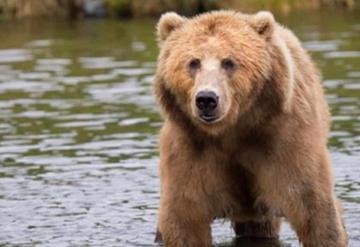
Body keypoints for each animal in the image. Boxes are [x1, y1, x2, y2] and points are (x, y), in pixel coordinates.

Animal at [153, 10, 348, 247]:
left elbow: (314, 209)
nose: (206, 99)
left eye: (228, 62)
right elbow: (185, 218)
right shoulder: (190, 148)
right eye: (193, 62)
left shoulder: (285, 140)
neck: (233, 130)